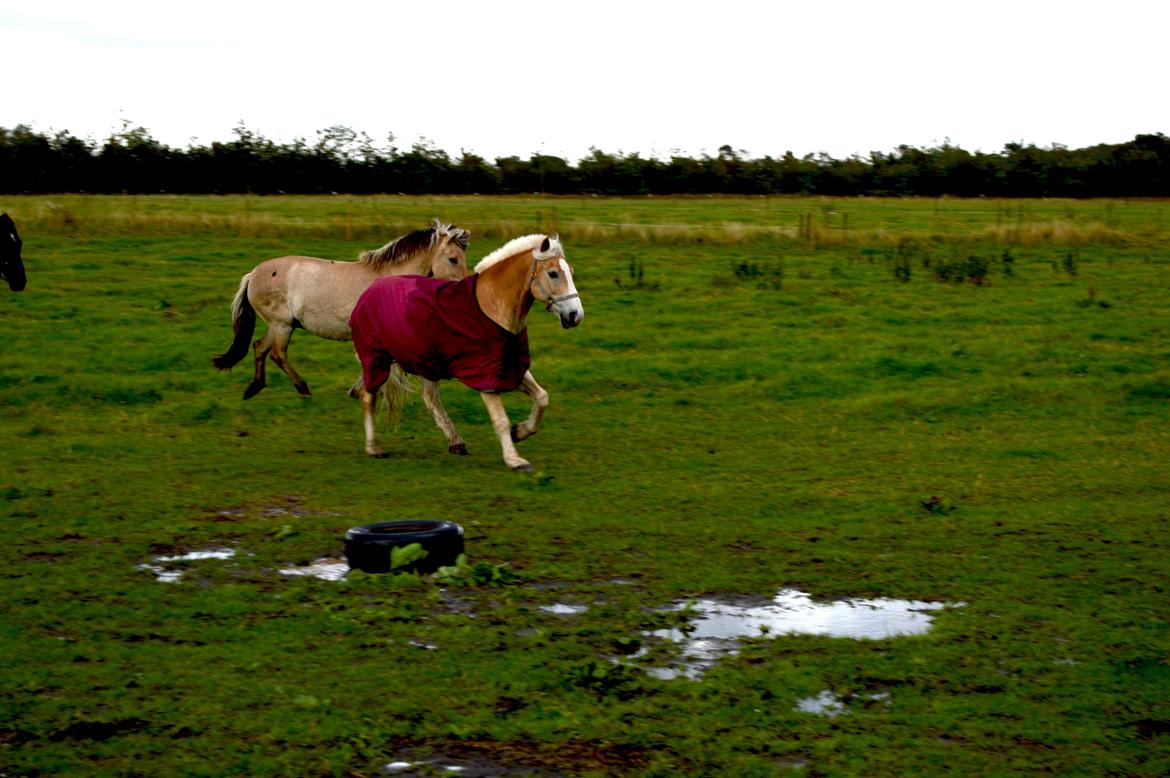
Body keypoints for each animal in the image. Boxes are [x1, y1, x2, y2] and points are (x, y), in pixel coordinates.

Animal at [212, 219, 467, 397]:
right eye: (453, 259)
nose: (464, 290)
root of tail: (253, 274)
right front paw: (359, 390)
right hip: (281, 325)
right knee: (277, 354)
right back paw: (302, 389)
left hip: (281, 326)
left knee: (259, 347)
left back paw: (254, 388)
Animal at [346, 233, 585, 470]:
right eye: (553, 273)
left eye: (571, 271)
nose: (576, 316)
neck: (492, 307)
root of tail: (369, 292)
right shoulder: (487, 377)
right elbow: (500, 419)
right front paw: (515, 460)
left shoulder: (512, 367)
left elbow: (542, 398)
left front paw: (519, 432)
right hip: (377, 359)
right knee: (368, 396)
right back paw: (374, 448)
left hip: (425, 363)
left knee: (428, 398)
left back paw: (456, 442)